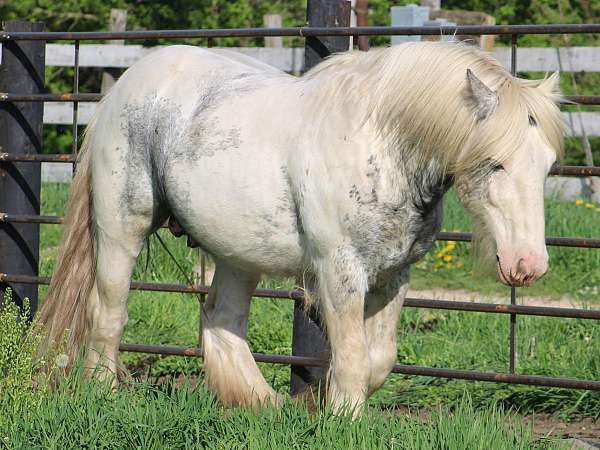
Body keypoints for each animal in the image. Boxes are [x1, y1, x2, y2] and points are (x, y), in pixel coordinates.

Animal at [39, 41, 564, 412]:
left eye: (546, 166)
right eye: (495, 164)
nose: (528, 265)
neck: (382, 147)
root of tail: (126, 84)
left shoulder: (394, 275)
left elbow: (378, 360)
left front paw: (320, 401)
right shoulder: (339, 271)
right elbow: (352, 355)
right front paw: (343, 418)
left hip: (238, 252)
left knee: (222, 320)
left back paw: (262, 404)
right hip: (121, 228)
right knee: (108, 311)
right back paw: (103, 393)